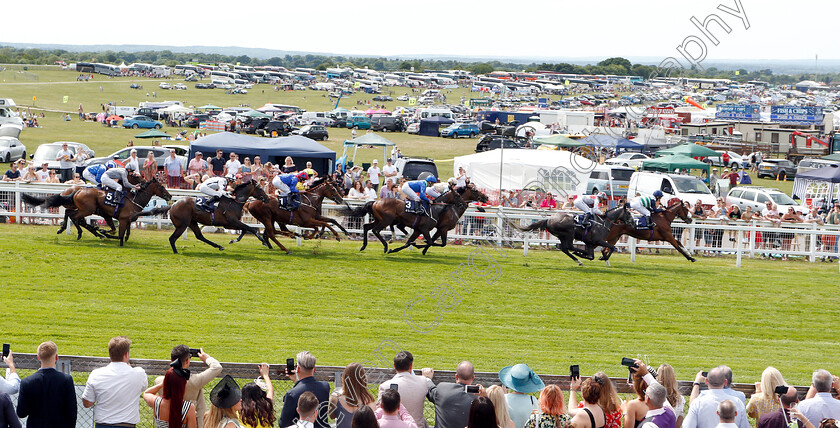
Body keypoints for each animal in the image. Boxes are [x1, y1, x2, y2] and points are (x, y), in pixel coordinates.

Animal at [21, 177, 171, 246]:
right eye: (161, 186)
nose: (169, 196)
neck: (133, 198)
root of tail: (77, 191)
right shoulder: (121, 219)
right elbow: (118, 233)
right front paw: (103, 232)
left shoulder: (125, 219)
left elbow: (123, 232)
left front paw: (104, 232)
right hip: (87, 209)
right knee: (75, 217)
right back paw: (82, 232)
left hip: (81, 208)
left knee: (70, 214)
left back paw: (65, 228)